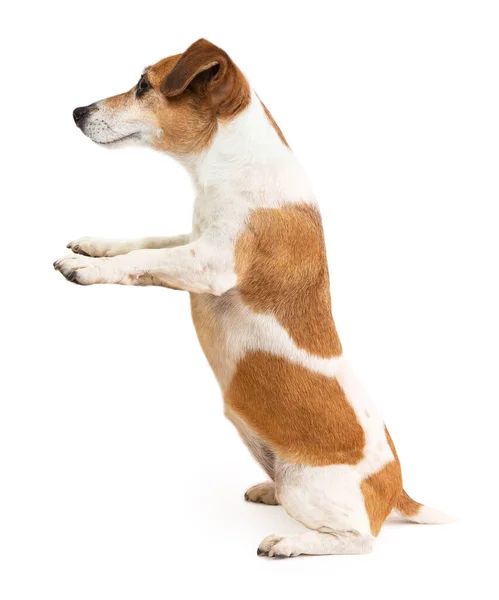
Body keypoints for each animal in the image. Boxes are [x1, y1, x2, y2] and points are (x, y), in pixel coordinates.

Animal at [55, 38, 454, 556]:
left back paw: (291, 542)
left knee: (359, 540)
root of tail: (397, 489)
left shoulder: (210, 264)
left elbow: (141, 260)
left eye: (143, 85)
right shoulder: (193, 241)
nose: (77, 111)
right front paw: (95, 246)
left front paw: (88, 269)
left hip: (309, 488)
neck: (227, 166)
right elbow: (144, 244)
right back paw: (268, 490)